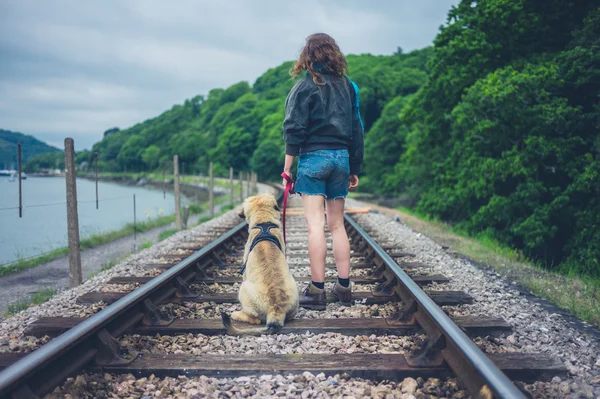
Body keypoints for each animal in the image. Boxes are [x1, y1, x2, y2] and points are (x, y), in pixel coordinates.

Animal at [221, 194, 298, 334]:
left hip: (244, 289)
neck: (264, 222)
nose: (239, 214)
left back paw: (237, 314)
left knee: (255, 319)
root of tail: (276, 309)